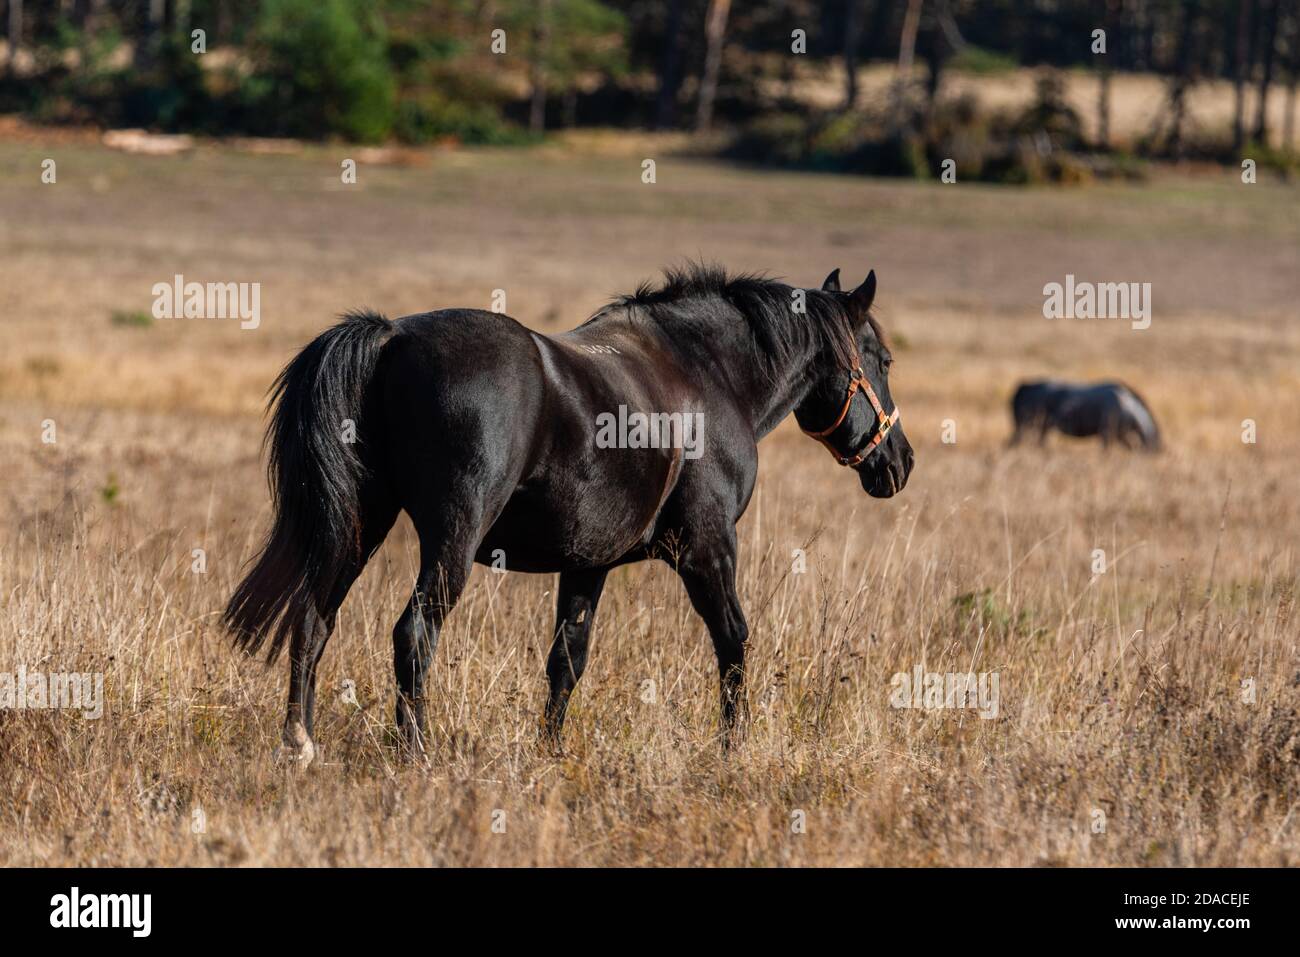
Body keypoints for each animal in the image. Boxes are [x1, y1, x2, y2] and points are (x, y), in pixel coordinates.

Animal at [223, 261, 915, 764]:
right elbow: (734, 641)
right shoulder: (708, 547)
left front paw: (551, 752)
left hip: (360, 525)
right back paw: (413, 751)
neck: (708, 376)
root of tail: (393, 336)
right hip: (449, 539)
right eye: (882, 360)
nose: (900, 461)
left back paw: (299, 744)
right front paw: (733, 747)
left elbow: (567, 660)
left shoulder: (589, 564)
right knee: (414, 633)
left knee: (313, 620)